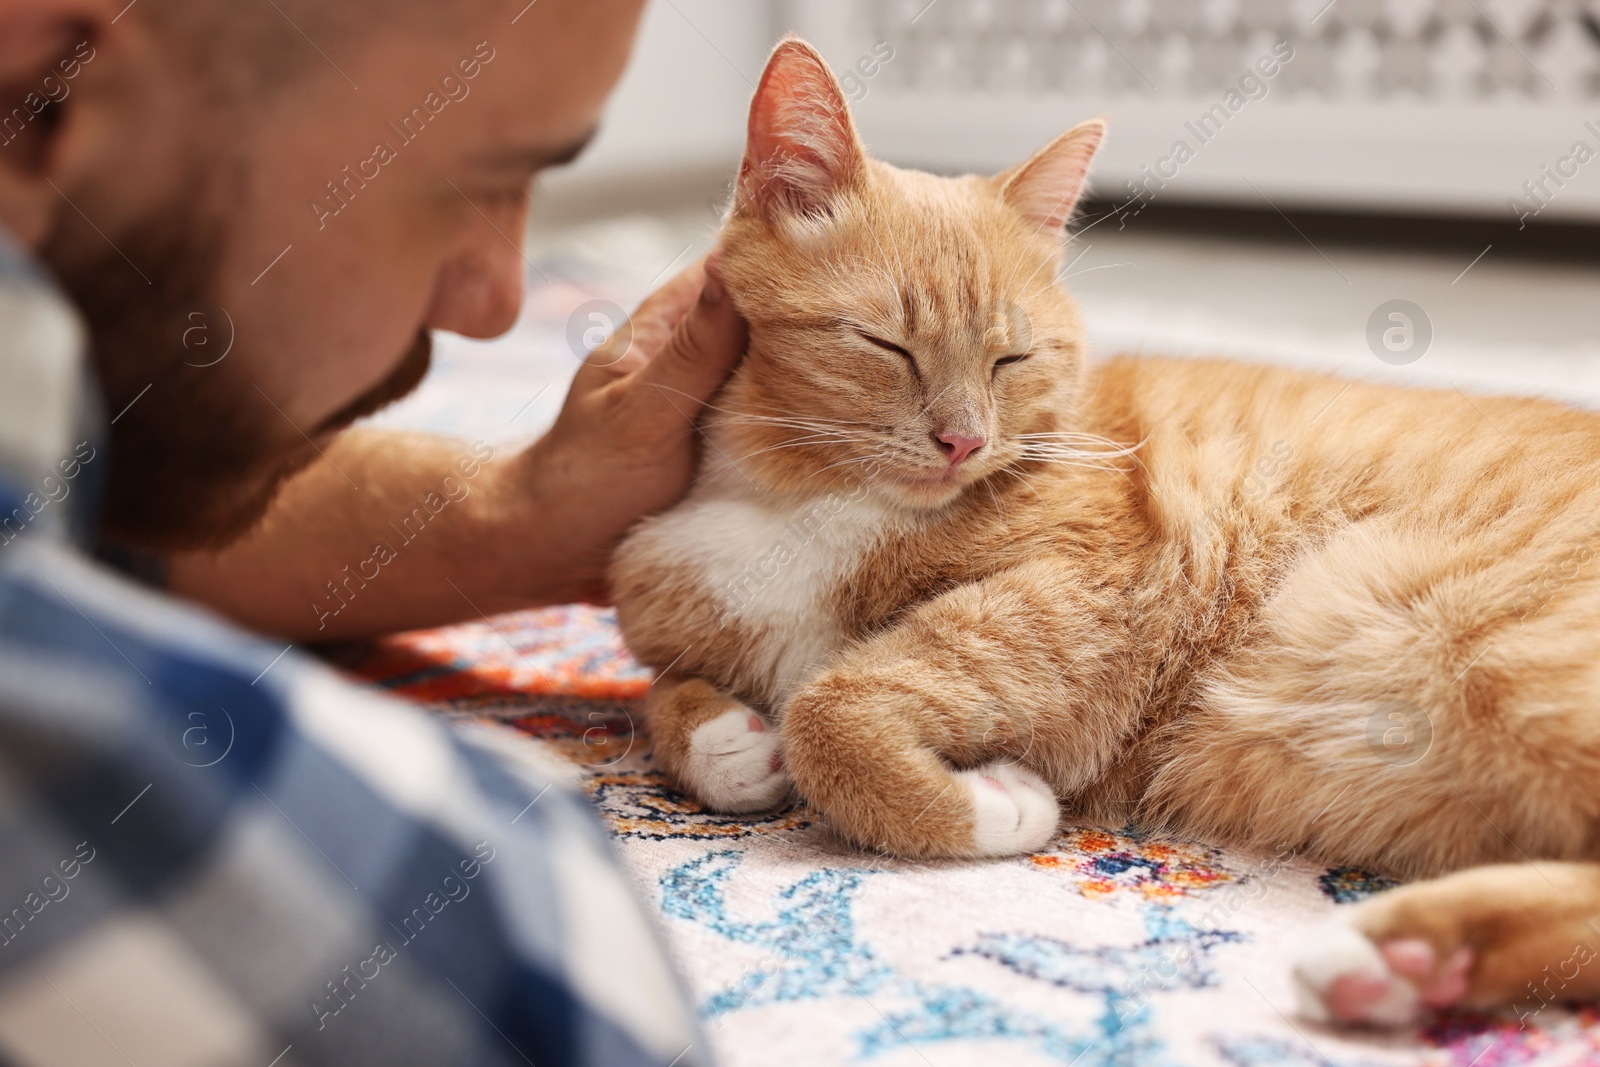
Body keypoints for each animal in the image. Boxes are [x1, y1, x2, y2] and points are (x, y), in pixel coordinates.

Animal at [608, 37, 1600, 1030]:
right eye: (887, 345)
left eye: (1012, 357)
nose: (964, 440)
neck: (792, 500)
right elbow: (658, 697)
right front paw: (729, 740)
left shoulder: (1085, 591)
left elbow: (832, 709)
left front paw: (984, 806)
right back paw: (1414, 962)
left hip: (1485, 640)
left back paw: (1404, 947)